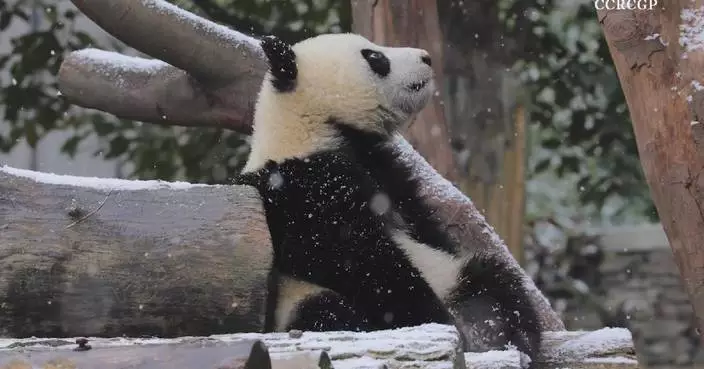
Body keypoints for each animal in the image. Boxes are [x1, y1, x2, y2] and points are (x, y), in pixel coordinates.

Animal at [234, 32, 540, 362]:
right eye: (374, 57)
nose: (426, 57)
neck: (308, 128)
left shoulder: (385, 171)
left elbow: (420, 221)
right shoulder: (301, 188)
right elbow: (361, 257)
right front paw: (431, 318)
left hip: (454, 275)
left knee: (497, 283)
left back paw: (498, 331)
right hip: (295, 297)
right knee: (327, 311)